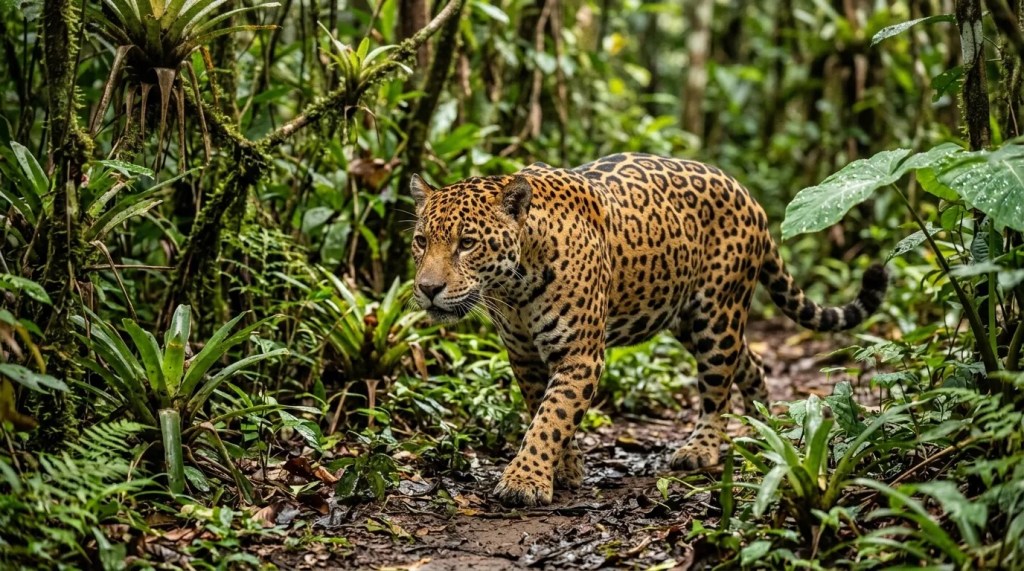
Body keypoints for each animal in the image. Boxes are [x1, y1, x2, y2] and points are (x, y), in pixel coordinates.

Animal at [409, 153, 887, 507]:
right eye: (421, 241)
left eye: (467, 243)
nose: (427, 289)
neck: (514, 284)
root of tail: (746, 194)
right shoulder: (524, 355)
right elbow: (541, 411)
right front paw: (565, 468)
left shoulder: (580, 354)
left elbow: (552, 417)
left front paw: (525, 481)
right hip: (686, 317)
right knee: (749, 362)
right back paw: (764, 423)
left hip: (715, 316)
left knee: (717, 388)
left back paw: (701, 447)